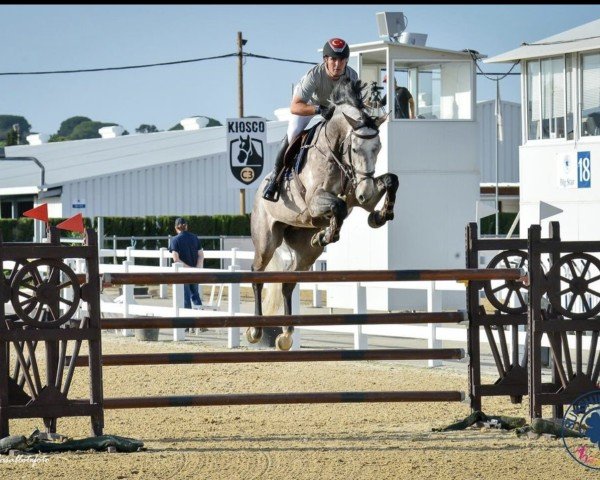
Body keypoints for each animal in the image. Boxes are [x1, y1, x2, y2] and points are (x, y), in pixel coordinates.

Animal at [248, 78, 398, 348]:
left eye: (379, 148)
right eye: (355, 149)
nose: (366, 192)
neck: (336, 151)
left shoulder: (358, 194)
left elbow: (391, 180)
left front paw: (379, 216)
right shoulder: (314, 201)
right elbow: (337, 206)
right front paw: (328, 234)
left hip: (305, 252)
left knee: (288, 282)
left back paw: (286, 334)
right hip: (266, 241)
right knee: (257, 274)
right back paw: (255, 330)